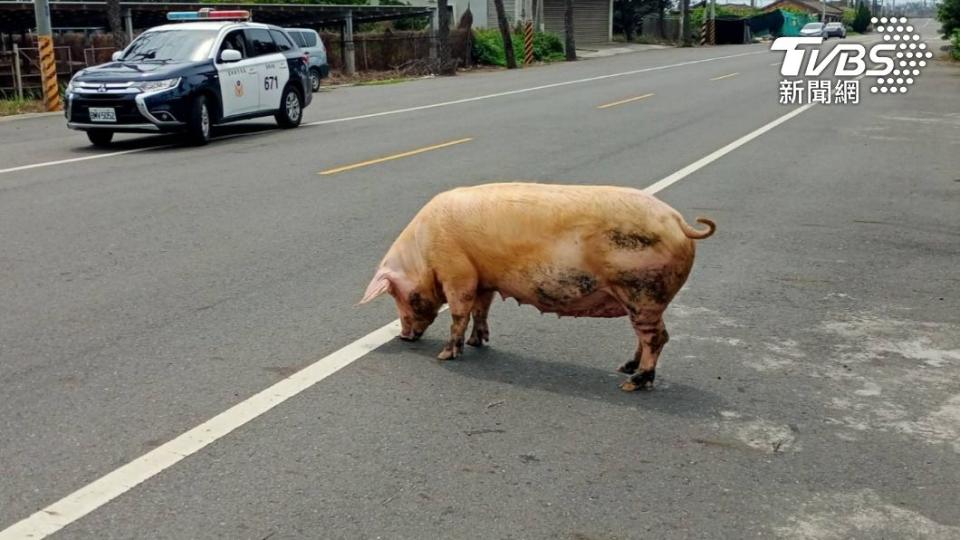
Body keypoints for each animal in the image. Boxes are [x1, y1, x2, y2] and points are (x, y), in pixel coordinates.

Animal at [358, 182, 712, 392]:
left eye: (403, 296)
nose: (405, 336)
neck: (423, 253)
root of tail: (680, 223)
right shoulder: (483, 278)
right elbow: (481, 310)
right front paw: (477, 343)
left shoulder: (458, 272)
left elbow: (459, 313)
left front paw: (446, 356)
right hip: (643, 298)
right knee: (645, 336)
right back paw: (624, 368)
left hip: (643, 291)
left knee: (658, 337)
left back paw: (632, 383)